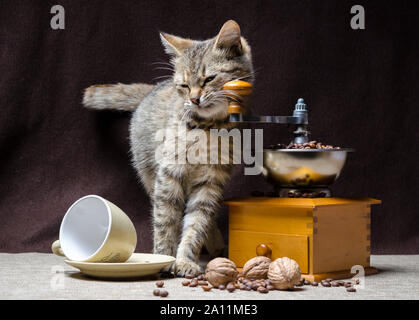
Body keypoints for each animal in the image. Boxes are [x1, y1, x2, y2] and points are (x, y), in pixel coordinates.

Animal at [81, 20, 253, 276]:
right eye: (184, 85)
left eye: (209, 79)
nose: (194, 99)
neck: (207, 128)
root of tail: (151, 89)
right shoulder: (168, 175)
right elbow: (165, 220)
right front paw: (164, 257)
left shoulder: (211, 181)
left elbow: (197, 223)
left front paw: (184, 260)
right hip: (149, 175)